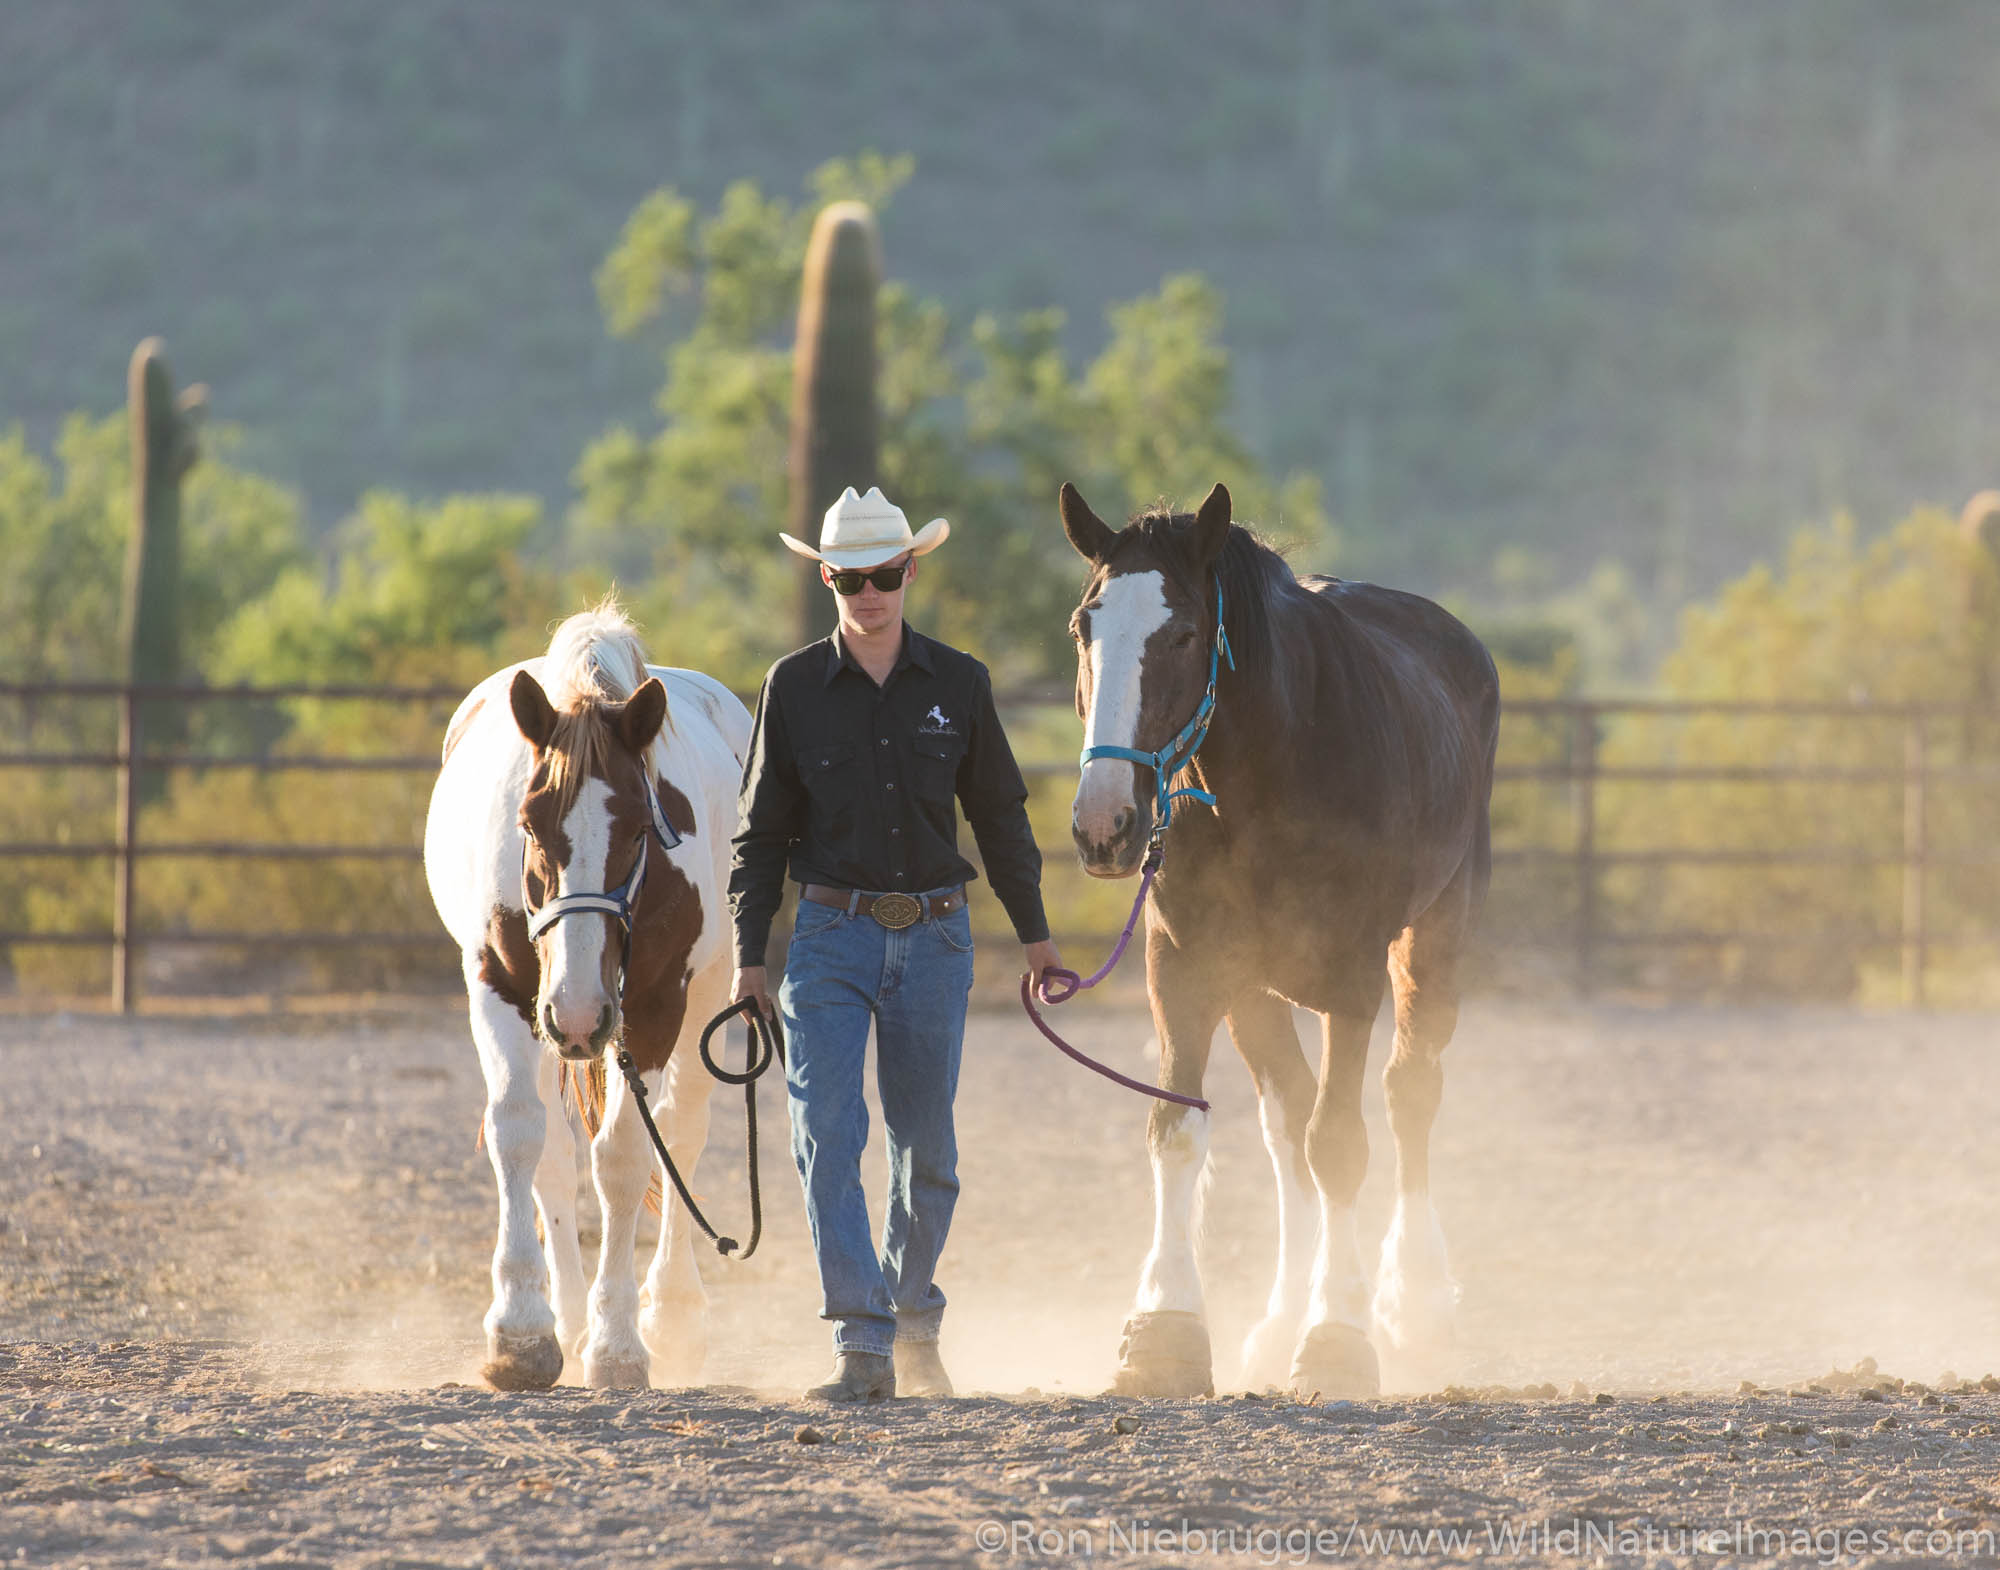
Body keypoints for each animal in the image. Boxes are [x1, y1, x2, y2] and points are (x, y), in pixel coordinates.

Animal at [430, 608, 752, 1392]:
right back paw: (568, 1322)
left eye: (641, 829)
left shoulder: (657, 1005)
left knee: (681, 1135)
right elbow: (518, 1134)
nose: (579, 1014)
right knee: (551, 1156)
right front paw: (521, 1334)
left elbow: (627, 1155)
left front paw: (619, 1344)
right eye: (528, 825)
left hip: (706, 996)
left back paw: (671, 1315)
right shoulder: (501, 986)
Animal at [1064, 480, 1504, 1400]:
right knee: (1289, 1117)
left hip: (1435, 941)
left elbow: (1339, 1144)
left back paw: (1412, 1302)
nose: (1104, 824)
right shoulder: (1183, 969)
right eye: (1085, 628)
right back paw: (1275, 1324)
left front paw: (1338, 1337)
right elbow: (1177, 1131)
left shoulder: (1351, 979)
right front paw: (1164, 1331)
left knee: (1409, 1095)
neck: (1267, 774)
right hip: (1253, 989)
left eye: (1182, 635)